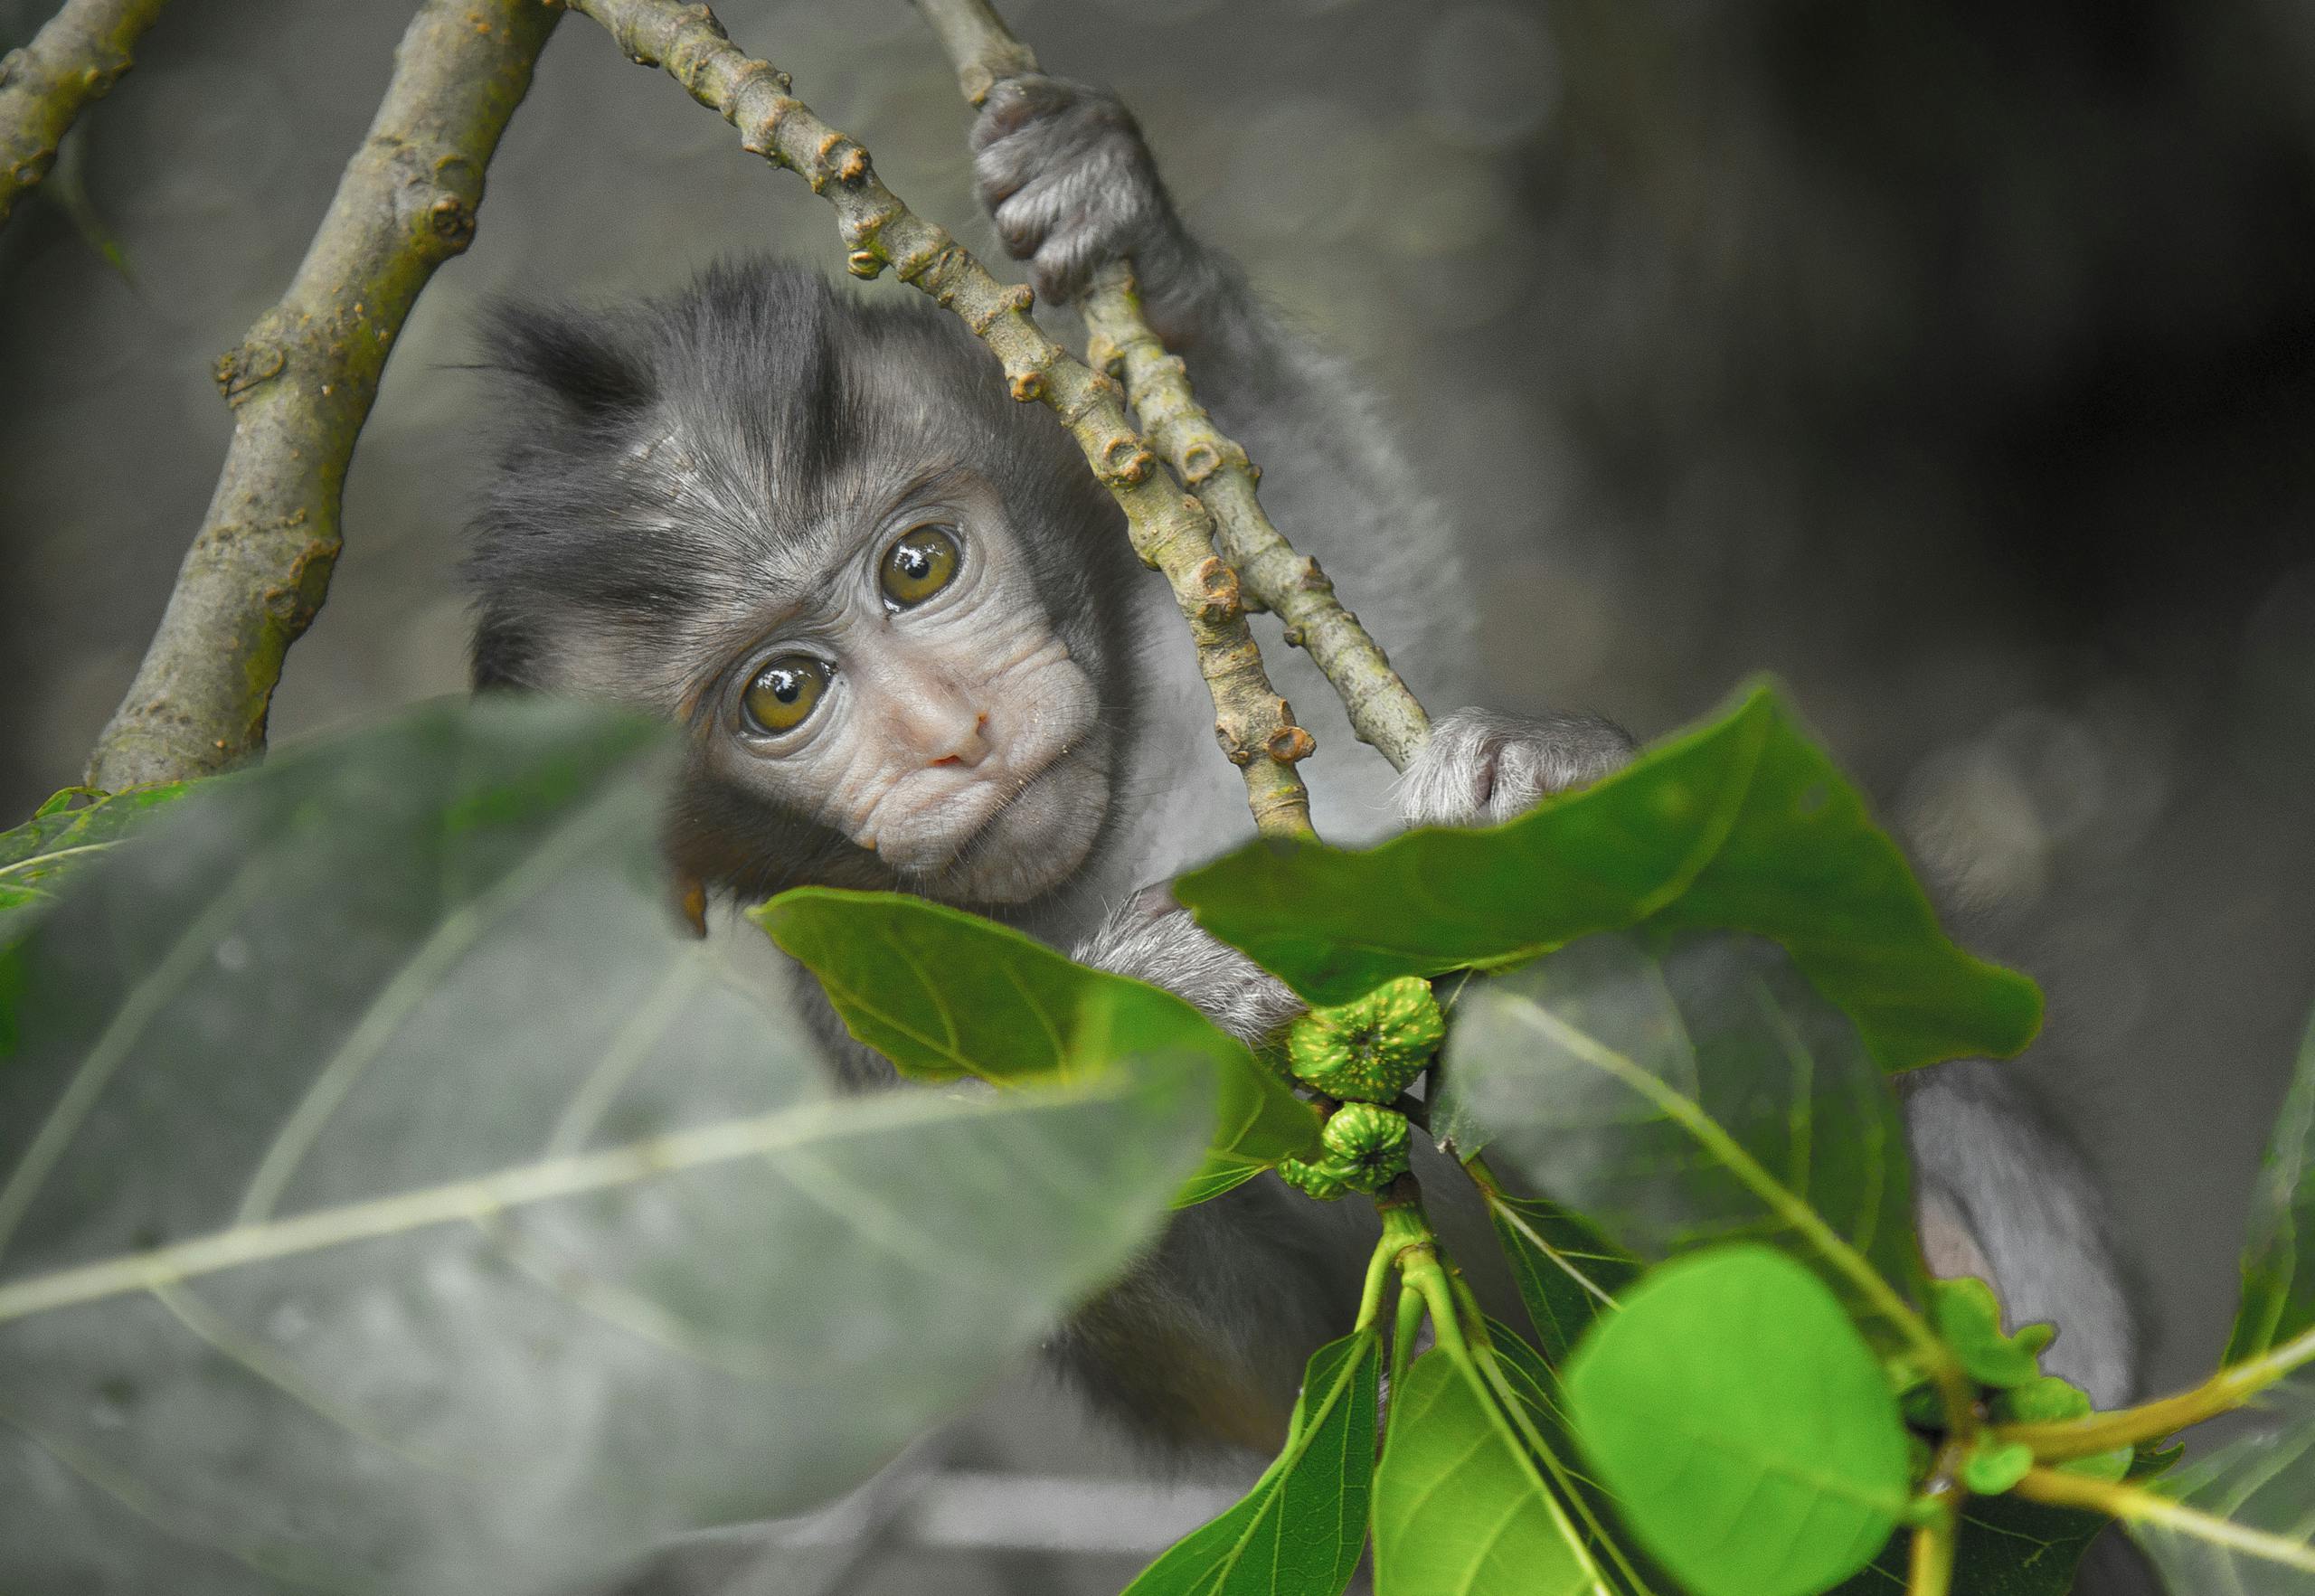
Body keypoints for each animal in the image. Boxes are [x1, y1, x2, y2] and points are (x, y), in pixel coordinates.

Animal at [465, 74, 2130, 1463]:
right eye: (783, 695)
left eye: (920, 566)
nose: (953, 729)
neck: (1110, 834)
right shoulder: (854, 1028)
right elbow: (1269, 1374)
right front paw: (1159, 1010)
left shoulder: (1177, 639)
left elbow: (1334, 552)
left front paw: (1115, 209)